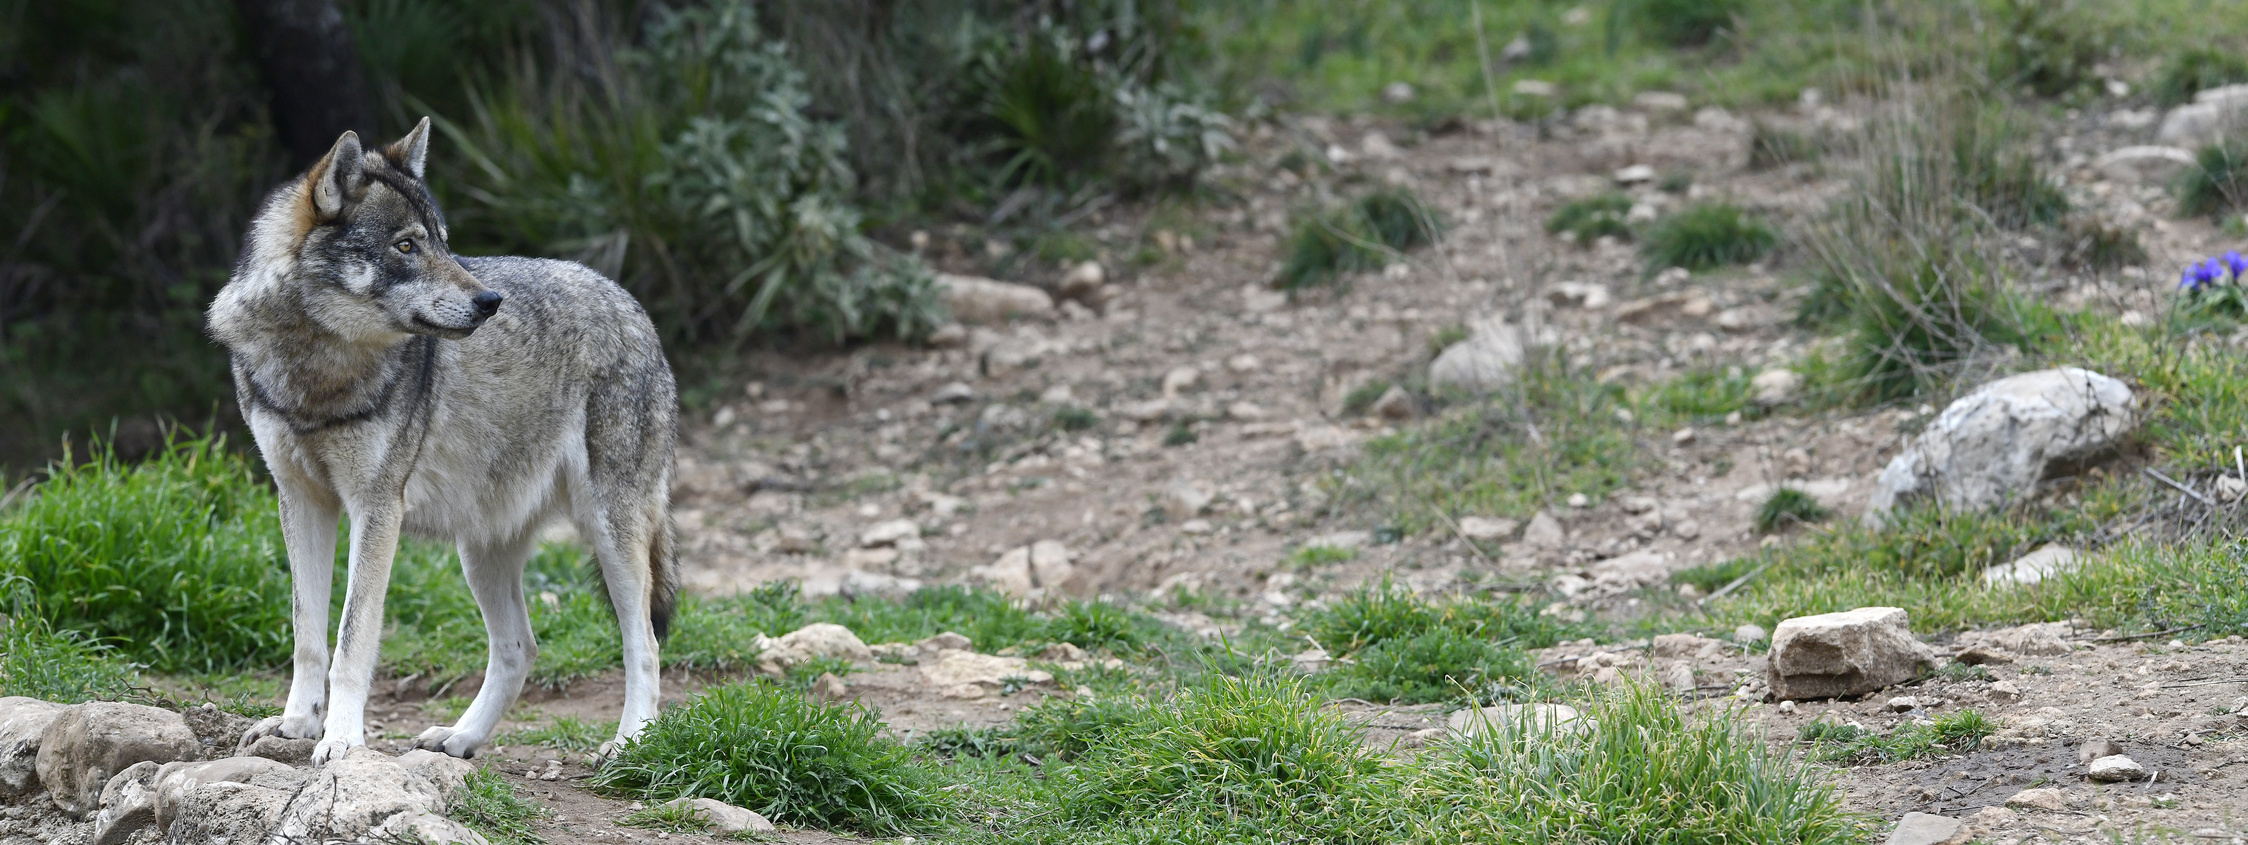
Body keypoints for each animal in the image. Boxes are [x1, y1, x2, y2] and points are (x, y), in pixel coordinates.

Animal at [208, 118, 679, 764]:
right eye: (407, 246)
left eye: (443, 242)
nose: (489, 302)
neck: (319, 369)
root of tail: (634, 306)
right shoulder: (300, 501)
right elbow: (308, 636)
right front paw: (294, 726)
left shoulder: (377, 508)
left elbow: (352, 640)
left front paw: (341, 740)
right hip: (480, 550)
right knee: (520, 647)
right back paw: (460, 737)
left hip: (611, 533)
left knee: (645, 645)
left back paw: (629, 743)